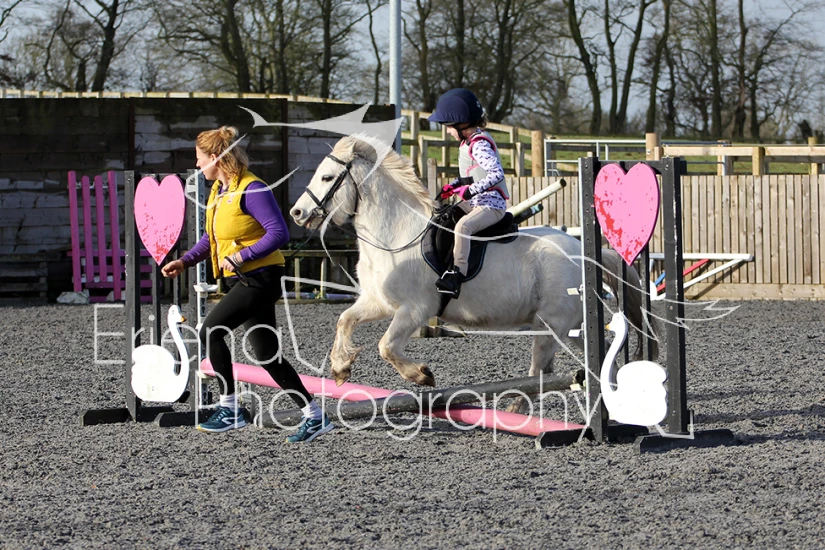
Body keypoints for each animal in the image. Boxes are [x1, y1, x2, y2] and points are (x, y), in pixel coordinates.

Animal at [289, 135, 655, 412]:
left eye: (326, 178)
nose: (297, 213)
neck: (395, 232)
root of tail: (584, 253)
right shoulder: (379, 303)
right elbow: (345, 320)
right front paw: (340, 368)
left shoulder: (414, 310)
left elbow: (386, 346)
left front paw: (422, 375)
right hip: (572, 326)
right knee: (597, 358)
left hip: (551, 325)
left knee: (540, 370)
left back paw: (515, 409)